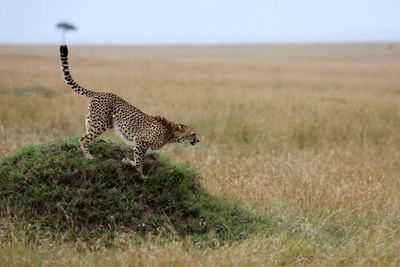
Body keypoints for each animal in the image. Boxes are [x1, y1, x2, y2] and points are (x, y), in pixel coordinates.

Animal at [58, 45, 199, 175]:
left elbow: (137, 159)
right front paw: (141, 174)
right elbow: (139, 161)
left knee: (85, 136)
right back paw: (88, 156)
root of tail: (100, 93)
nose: (198, 140)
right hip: (101, 123)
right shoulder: (141, 142)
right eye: (193, 134)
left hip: (92, 120)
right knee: (83, 139)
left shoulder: (139, 144)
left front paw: (127, 161)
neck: (170, 133)